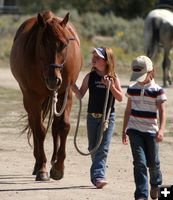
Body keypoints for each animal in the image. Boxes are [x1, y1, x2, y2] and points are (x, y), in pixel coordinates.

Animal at [9, 10, 82, 181]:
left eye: (64, 44)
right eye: (42, 43)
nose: (54, 80)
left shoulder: (66, 93)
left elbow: (63, 126)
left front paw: (59, 167)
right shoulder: (32, 97)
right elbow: (39, 130)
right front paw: (42, 168)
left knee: (55, 126)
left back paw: (54, 160)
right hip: (28, 99)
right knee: (34, 124)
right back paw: (37, 165)